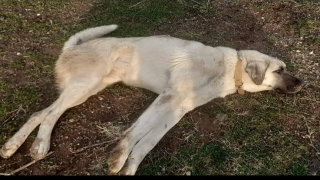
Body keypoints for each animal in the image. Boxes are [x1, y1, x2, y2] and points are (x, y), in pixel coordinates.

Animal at [0, 24, 304, 174]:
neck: (229, 68)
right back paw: (39, 146)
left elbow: (147, 141)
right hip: (85, 85)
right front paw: (118, 158)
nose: (303, 83)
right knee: (50, 114)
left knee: (40, 113)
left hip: (85, 90)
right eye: (280, 70)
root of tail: (72, 47)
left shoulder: (178, 108)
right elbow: (134, 133)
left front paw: (130, 167)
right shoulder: (168, 97)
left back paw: (11, 146)